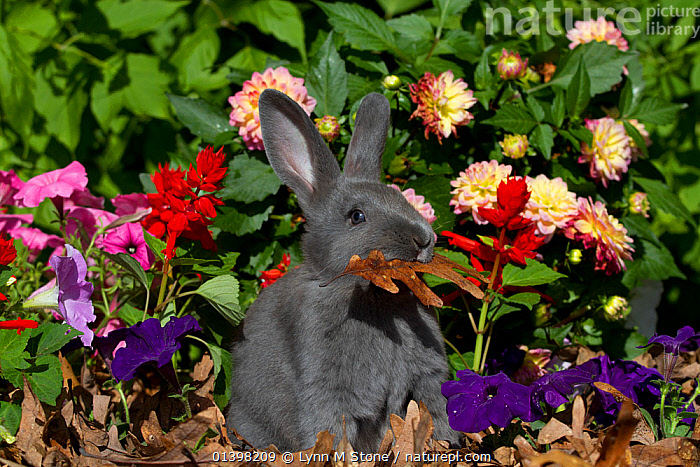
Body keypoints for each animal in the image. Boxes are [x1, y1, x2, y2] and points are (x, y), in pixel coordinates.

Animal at [227, 88, 461, 453]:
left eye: (400, 197)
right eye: (356, 217)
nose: (424, 239)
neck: (376, 296)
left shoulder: (427, 376)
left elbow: (434, 408)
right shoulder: (325, 385)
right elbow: (331, 432)